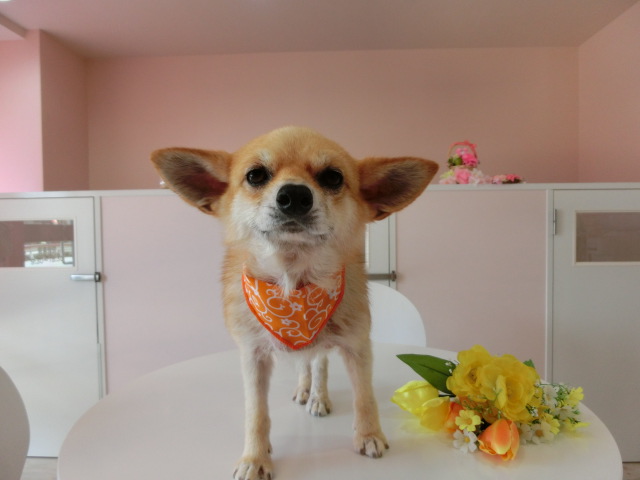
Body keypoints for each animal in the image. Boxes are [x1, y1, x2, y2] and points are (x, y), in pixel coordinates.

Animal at [151, 126, 438, 480]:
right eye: (255, 175)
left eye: (332, 177)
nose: (294, 195)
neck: (294, 286)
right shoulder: (253, 357)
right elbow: (256, 412)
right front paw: (255, 457)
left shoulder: (357, 347)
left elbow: (364, 396)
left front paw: (369, 434)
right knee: (306, 363)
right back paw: (304, 390)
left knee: (319, 363)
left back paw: (317, 396)